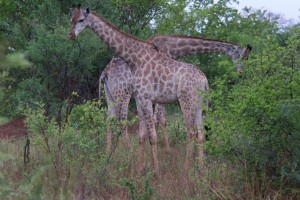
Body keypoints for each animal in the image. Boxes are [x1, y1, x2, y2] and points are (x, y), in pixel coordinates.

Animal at [69, 5, 211, 176]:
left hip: (186, 101)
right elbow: (142, 136)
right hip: (199, 104)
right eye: (71, 19)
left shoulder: (146, 98)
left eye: (81, 19)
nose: (71, 35)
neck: (134, 58)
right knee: (201, 133)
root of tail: (204, 80)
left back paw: (185, 169)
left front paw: (156, 171)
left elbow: (153, 136)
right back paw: (201, 168)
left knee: (191, 132)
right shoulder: (139, 100)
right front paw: (139, 169)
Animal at [100, 35, 251, 151]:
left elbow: (160, 119)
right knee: (121, 120)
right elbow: (159, 119)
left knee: (109, 119)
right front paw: (162, 149)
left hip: (110, 95)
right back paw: (128, 150)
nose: (242, 74)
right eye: (244, 57)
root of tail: (105, 73)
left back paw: (109, 151)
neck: (174, 47)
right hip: (122, 94)